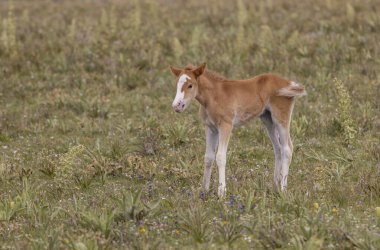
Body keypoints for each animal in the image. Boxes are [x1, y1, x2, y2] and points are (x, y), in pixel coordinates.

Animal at [171, 63, 308, 197]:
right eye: (176, 84)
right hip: (268, 119)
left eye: (190, 85)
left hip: (281, 118)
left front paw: (222, 192)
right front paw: (204, 191)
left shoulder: (226, 125)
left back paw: (283, 190)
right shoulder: (210, 128)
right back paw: (275, 187)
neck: (214, 96)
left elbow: (220, 157)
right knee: (278, 149)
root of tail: (288, 83)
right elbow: (208, 157)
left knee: (287, 148)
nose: (176, 106)